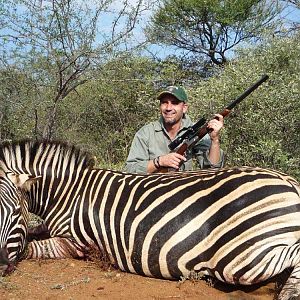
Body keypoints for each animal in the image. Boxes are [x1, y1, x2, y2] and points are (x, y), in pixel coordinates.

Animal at [0, 139, 300, 298]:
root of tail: (289, 181)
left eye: (15, 212)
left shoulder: (75, 243)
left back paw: (288, 292)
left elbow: (29, 247)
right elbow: (34, 234)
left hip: (238, 258)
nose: (1, 266)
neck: (69, 193)